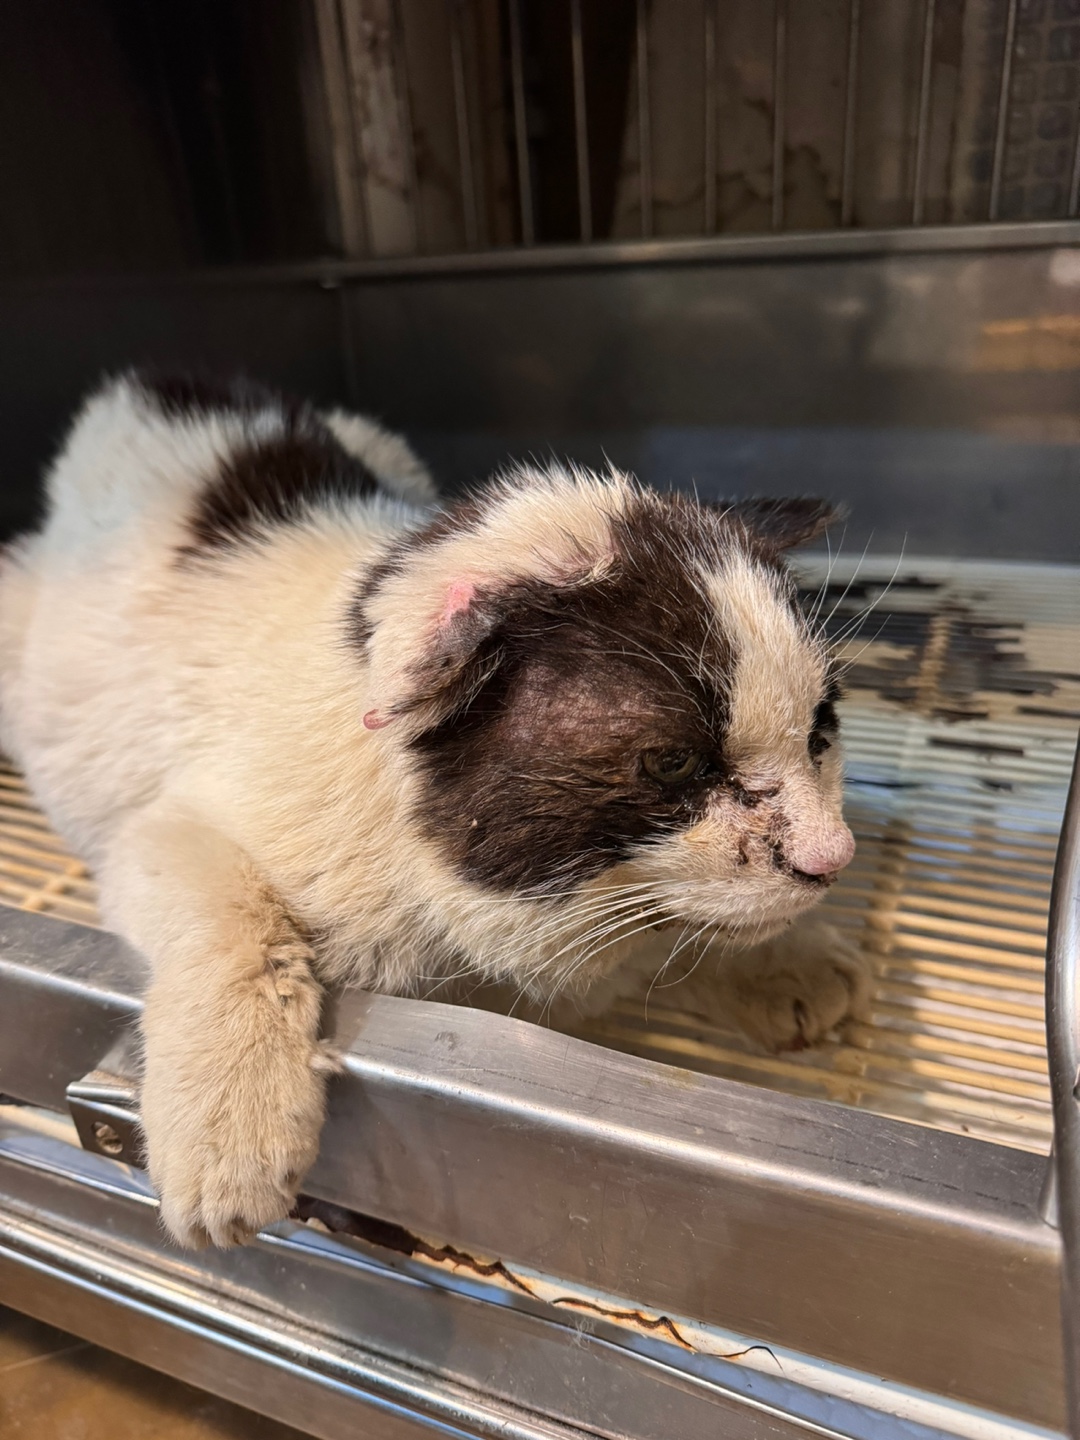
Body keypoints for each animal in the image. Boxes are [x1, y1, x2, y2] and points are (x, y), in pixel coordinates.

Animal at [0, 371, 869, 1249]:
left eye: (820, 730)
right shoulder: (161, 829)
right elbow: (235, 922)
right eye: (673, 762)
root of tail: (150, 384)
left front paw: (784, 965)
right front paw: (229, 1135)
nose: (832, 858)